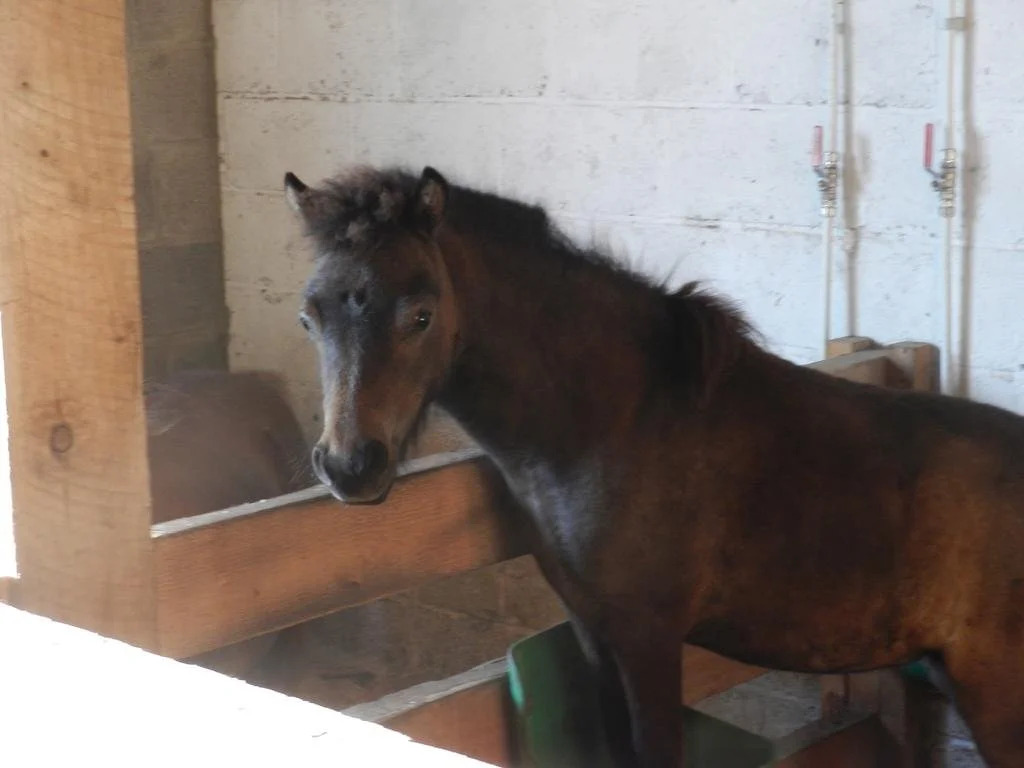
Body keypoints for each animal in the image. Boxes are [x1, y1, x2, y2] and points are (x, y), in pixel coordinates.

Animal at [282, 164, 1024, 767]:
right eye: (308, 317)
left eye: (421, 314)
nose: (350, 465)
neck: (612, 426)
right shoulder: (596, 634)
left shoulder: (649, 638)